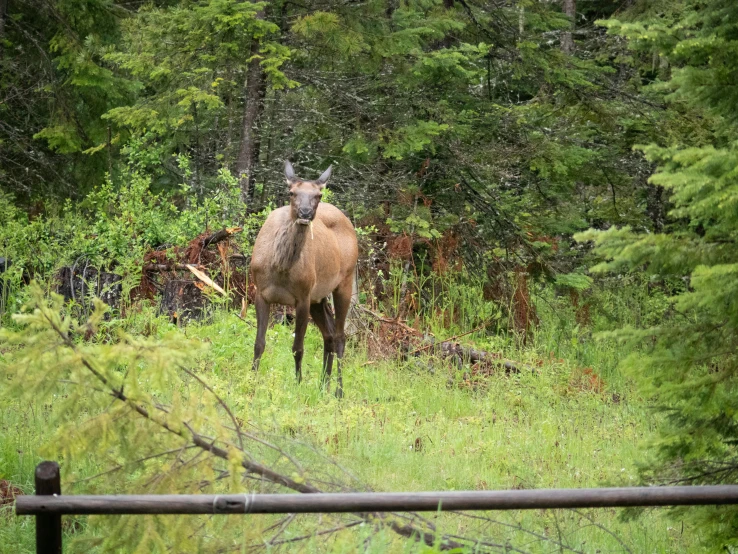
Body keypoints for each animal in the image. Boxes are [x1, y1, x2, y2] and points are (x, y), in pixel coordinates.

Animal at [250, 160, 360, 396]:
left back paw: (338, 391)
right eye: (291, 192)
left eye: (318, 194)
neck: (280, 269)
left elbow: (297, 347)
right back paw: (323, 385)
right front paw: (251, 379)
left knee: (340, 335)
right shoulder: (261, 293)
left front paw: (297, 384)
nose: (305, 212)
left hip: (344, 281)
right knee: (329, 333)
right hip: (318, 296)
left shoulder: (302, 298)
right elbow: (259, 343)